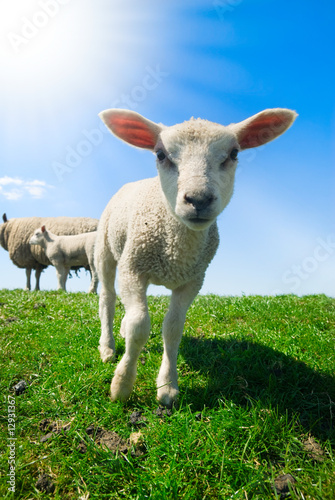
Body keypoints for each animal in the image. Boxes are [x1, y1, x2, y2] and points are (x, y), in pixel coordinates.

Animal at [96, 106, 298, 406]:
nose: (199, 199)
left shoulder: (192, 280)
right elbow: (139, 326)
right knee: (108, 299)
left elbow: (172, 329)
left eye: (234, 154)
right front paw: (121, 385)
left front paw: (168, 387)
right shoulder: (133, 269)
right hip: (107, 251)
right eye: (160, 155)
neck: (176, 251)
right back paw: (108, 347)